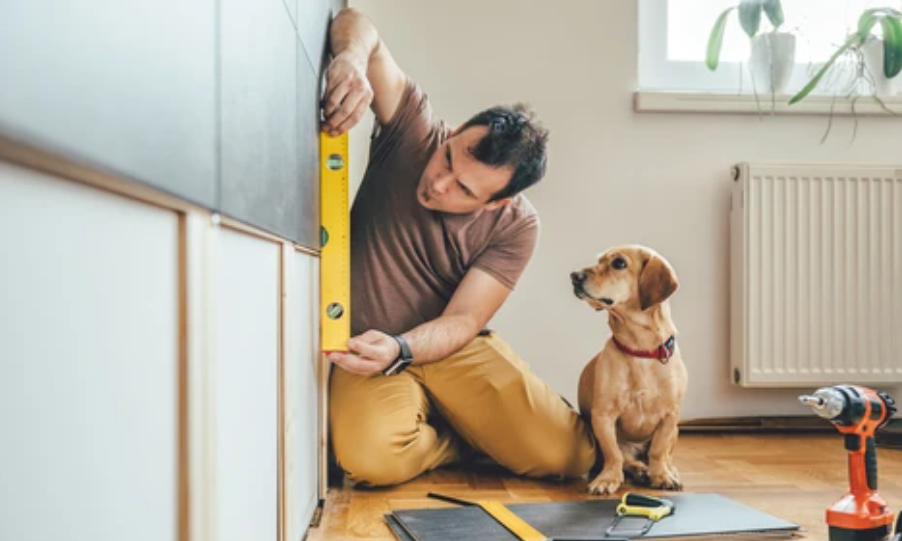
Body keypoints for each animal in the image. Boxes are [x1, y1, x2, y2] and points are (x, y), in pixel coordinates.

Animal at [576, 245, 688, 494]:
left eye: (619, 263)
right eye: (599, 261)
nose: (574, 276)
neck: (641, 351)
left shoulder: (670, 416)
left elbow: (658, 450)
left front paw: (661, 475)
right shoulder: (603, 415)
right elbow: (613, 454)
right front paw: (608, 478)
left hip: (676, 431)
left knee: (665, 455)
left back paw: (666, 471)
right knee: (628, 459)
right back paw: (639, 470)